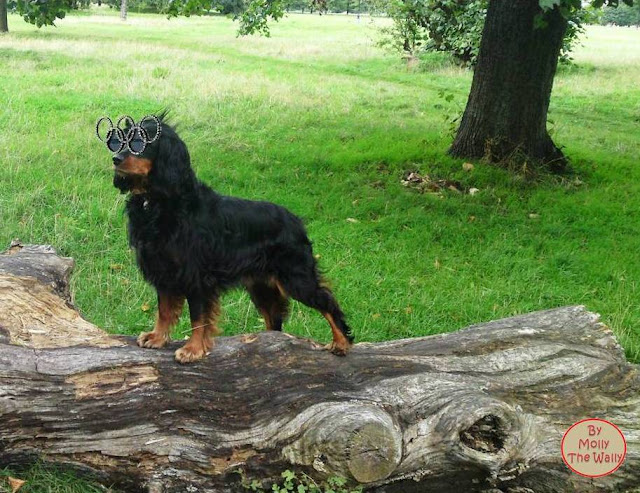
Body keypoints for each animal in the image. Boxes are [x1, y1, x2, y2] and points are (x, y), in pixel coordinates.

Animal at [109, 115, 354, 363]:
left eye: (141, 141)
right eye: (121, 139)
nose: (115, 159)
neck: (158, 200)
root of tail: (296, 220)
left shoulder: (196, 275)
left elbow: (198, 317)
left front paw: (193, 349)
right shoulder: (164, 271)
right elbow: (165, 310)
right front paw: (157, 337)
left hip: (295, 276)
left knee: (327, 302)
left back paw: (341, 342)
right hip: (262, 285)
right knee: (274, 320)